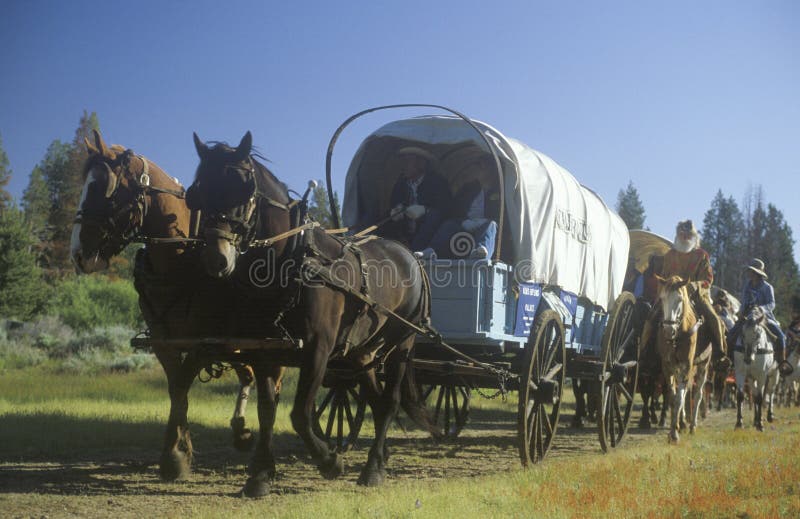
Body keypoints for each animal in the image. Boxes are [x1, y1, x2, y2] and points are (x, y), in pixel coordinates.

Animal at [71, 131, 278, 480]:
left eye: (102, 188)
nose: (78, 254)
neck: (180, 260)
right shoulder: (163, 341)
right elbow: (175, 390)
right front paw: (180, 452)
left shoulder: (202, 342)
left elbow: (181, 385)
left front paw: (174, 455)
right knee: (249, 374)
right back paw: (241, 431)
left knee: (271, 381)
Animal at [188, 131, 434, 496]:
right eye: (198, 192)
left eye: (244, 189)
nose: (216, 258)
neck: (293, 258)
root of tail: (409, 254)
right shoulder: (265, 349)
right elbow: (267, 410)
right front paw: (260, 475)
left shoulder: (318, 347)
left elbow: (300, 414)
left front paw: (330, 461)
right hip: (362, 351)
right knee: (377, 403)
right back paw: (380, 458)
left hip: (401, 344)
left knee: (389, 402)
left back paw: (373, 468)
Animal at [656, 276, 712, 442]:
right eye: (662, 298)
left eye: (680, 299)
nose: (669, 330)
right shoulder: (668, 367)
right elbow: (673, 398)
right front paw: (674, 428)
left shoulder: (687, 366)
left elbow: (680, 398)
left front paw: (674, 434)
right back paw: (682, 422)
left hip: (703, 366)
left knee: (698, 394)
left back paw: (692, 425)